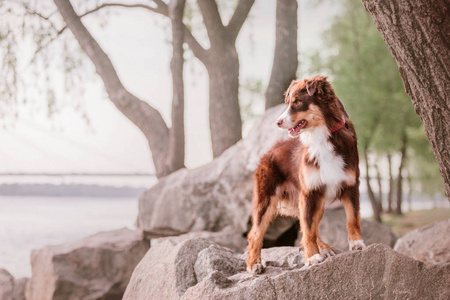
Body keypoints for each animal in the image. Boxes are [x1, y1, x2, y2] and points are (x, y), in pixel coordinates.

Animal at [246, 75, 366, 274]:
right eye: (288, 102)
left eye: (297, 102)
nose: (277, 122)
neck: (322, 135)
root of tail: (269, 151)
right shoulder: (309, 192)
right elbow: (308, 229)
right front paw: (312, 258)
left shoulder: (350, 185)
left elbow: (352, 219)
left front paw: (357, 244)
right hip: (266, 199)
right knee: (255, 233)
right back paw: (253, 263)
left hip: (318, 201)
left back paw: (324, 247)